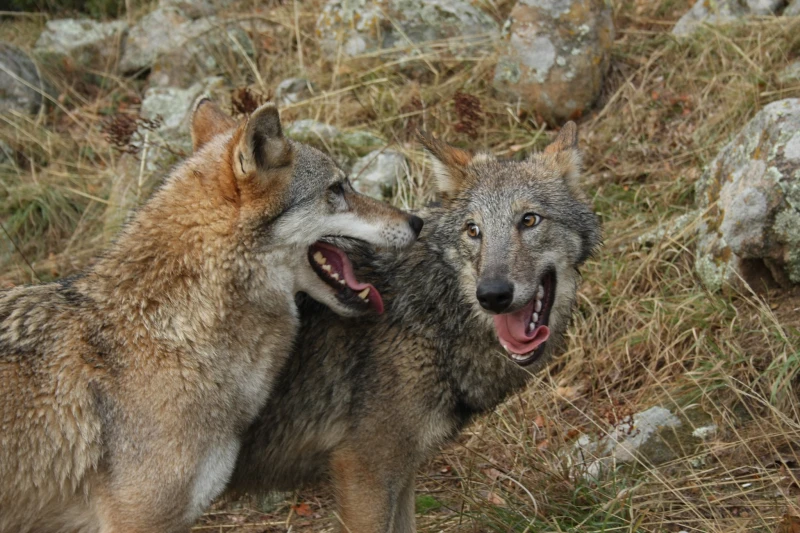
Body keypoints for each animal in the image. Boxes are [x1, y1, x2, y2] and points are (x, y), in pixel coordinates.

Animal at [225, 121, 600, 532]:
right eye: (473, 230)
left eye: (529, 220)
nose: (493, 294)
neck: (432, 309)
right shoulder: (365, 472)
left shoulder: (401, 472)